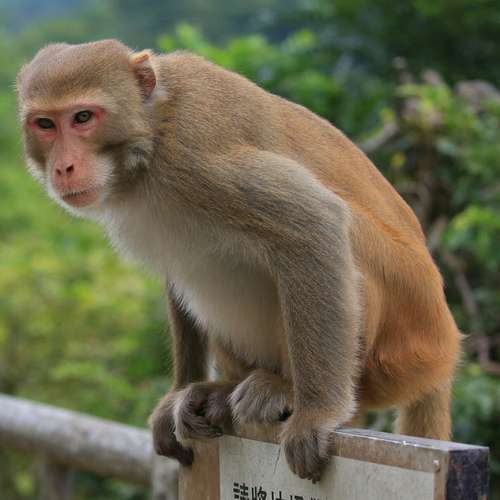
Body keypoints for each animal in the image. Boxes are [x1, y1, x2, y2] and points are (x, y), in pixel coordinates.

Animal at [16, 39, 461, 482]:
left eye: (83, 117)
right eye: (45, 124)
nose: (64, 167)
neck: (152, 132)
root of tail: (444, 349)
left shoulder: (195, 158)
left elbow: (315, 222)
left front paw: (317, 415)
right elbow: (175, 268)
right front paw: (178, 392)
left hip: (398, 346)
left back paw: (286, 389)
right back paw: (221, 389)